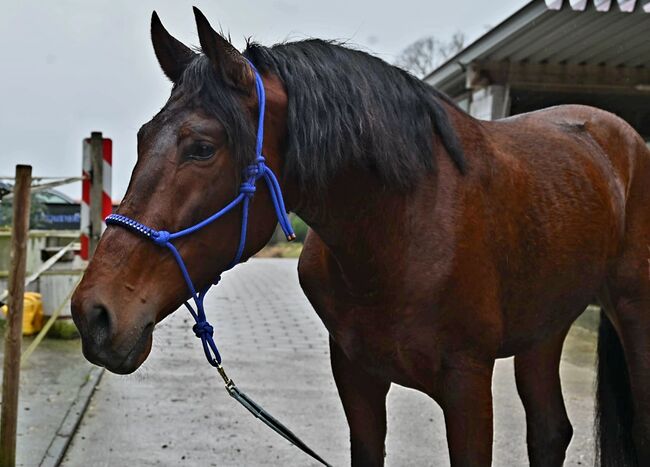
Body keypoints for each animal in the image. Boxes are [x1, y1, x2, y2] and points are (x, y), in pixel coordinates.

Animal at [69, 8, 648, 467]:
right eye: (142, 137)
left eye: (203, 148)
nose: (93, 313)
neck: (399, 232)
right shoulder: (356, 374)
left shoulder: (467, 385)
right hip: (544, 328)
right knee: (550, 432)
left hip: (631, 316)